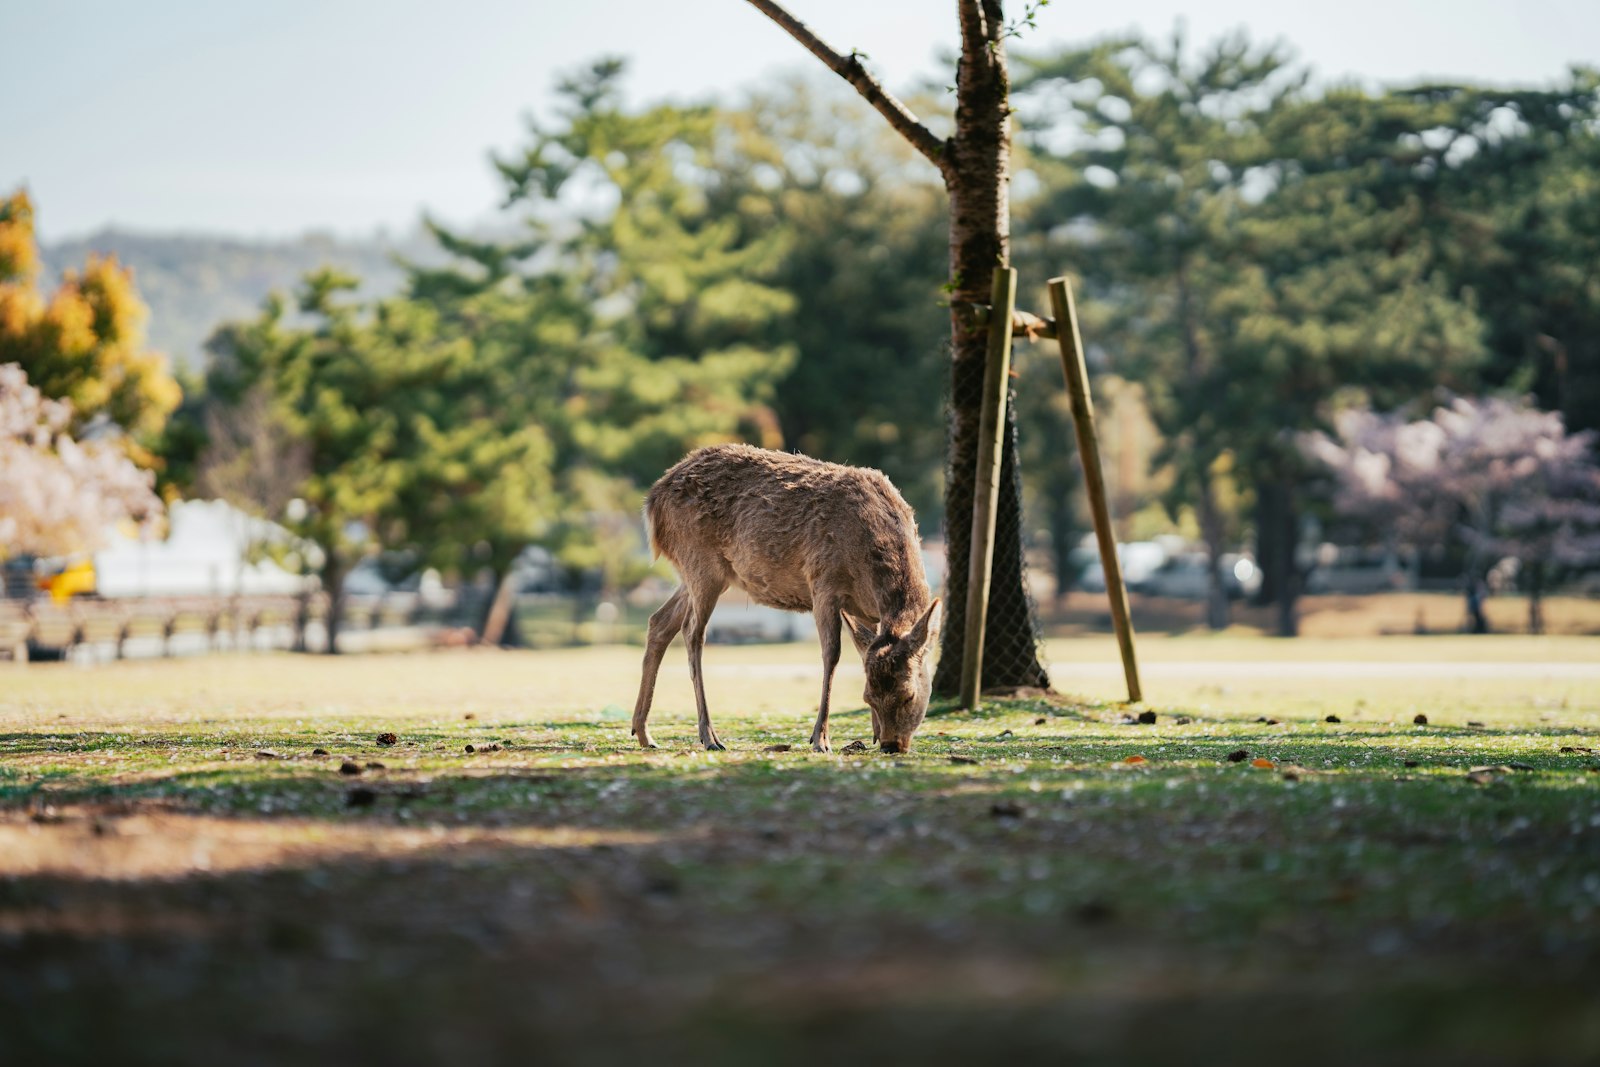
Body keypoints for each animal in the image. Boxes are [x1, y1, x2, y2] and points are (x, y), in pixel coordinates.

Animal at [631, 443, 942, 754]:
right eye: (869, 697)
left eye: (908, 695)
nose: (891, 745)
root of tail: (652, 501)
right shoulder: (823, 582)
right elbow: (832, 654)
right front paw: (820, 739)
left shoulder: (863, 610)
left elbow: (862, 651)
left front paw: (871, 734)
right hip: (700, 561)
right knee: (692, 631)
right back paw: (709, 736)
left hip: (696, 574)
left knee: (658, 622)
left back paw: (644, 733)